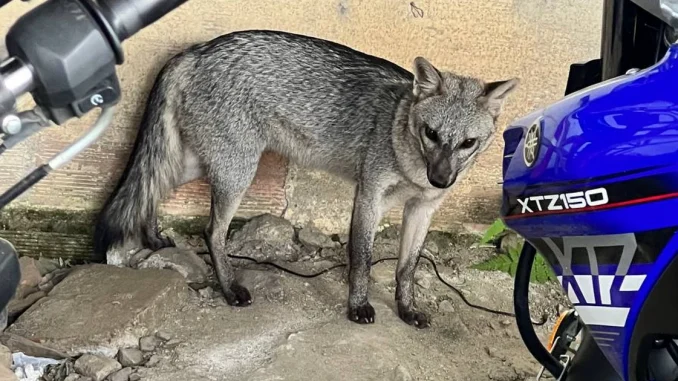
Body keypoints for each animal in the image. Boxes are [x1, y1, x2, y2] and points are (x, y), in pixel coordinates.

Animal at [94, 30, 520, 326]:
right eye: (431, 134)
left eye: (468, 143)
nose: (441, 180)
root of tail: (197, 49)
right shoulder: (370, 195)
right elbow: (362, 258)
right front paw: (358, 306)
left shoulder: (423, 208)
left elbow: (407, 267)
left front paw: (407, 308)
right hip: (236, 171)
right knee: (210, 230)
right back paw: (229, 288)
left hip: (207, 163)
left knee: (153, 186)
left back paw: (152, 237)